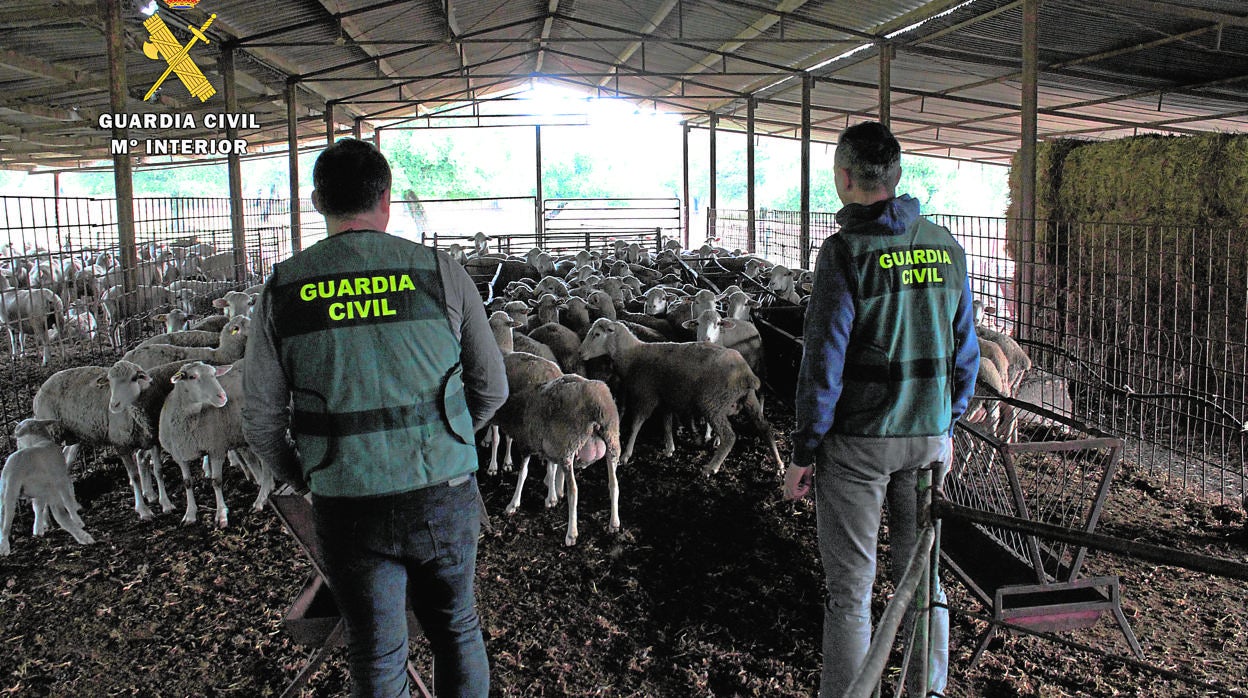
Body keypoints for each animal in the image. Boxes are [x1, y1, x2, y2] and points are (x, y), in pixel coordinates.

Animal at [0, 419, 92, 556]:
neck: (37, 439)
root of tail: (14, 469)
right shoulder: (61, 479)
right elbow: (69, 499)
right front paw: (76, 516)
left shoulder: (39, 493)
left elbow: (38, 507)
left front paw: (38, 529)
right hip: (49, 487)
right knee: (60, 514)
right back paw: (83, 535)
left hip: (8, 493)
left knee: (4, 521)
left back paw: (4, 547)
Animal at [576, 318, 778, 474]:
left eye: (596, 334)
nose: (580, 352)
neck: (633, 355)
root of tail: (746, 373)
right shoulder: (665, 397)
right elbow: (666, 422)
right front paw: (669, 448)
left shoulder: (646, 395)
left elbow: (636, 425)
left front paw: (626, 454)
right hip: (748, 399)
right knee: (765, 428)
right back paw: (779, 465)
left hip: (713, 403)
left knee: (729, 437)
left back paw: (711, 467)